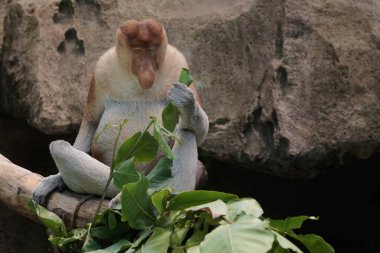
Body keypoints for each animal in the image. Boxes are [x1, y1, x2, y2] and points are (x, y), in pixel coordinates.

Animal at [33, 19, 209, 206]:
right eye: (138, 50)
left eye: (151, 50)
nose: (147, 71)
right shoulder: (101, 69)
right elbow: (91, 121)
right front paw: (54, 179)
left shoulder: (179, 63)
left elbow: (199, 131)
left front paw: (186, 101)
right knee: (59, 147)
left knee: (187, 133)